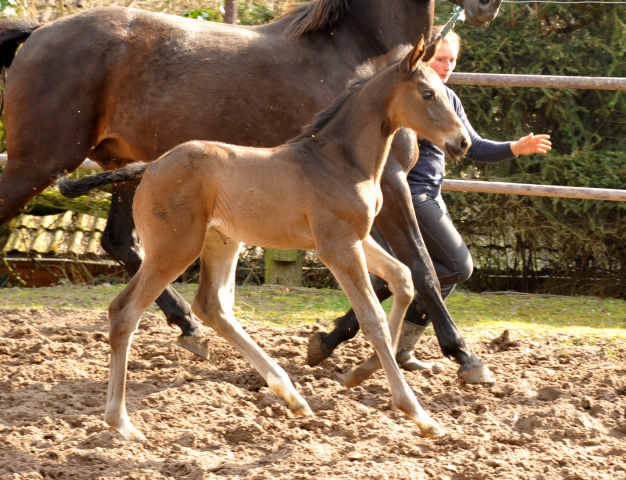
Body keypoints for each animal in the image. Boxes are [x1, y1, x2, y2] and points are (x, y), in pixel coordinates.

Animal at [0, 0, 500, 382]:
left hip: (123, 166)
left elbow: (395, 274)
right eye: (428, 94)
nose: (486, 8)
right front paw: (465, 356)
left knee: (120, 243)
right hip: (38, 161)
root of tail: (39, 31)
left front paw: (326, 343)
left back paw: (189, 328)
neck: (355, 49)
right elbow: (423, 267)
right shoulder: (392, 183)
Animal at [59, 37, 468, 442]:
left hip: (222, 242)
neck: (338, 162)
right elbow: (373, 318)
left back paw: (291, 395)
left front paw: (358, 374)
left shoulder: (357, 237)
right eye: (428, 93)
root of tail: (151, 167)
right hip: (173, 249)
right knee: (125, 311)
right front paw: (419, 414)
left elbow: (403, 278)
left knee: (212, 305)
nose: (462, 142)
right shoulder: (337, 245)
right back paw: (122, 423)